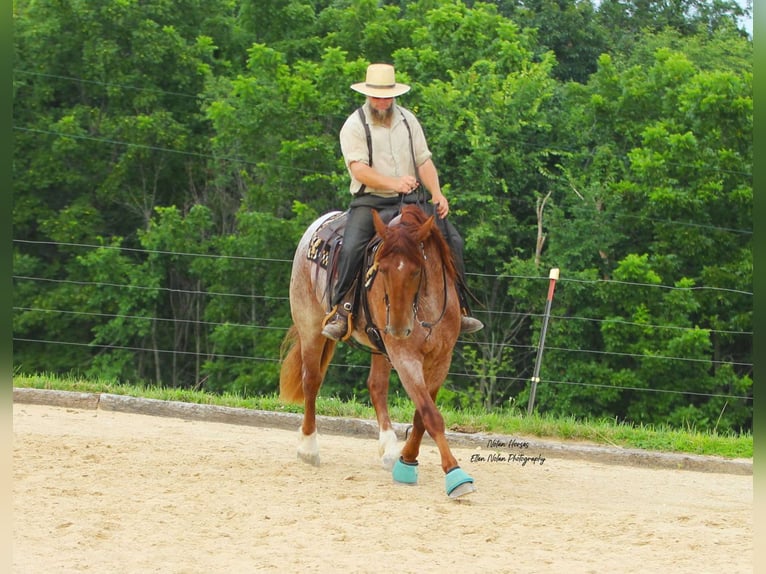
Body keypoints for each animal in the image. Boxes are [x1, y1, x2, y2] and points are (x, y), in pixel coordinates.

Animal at [280, 205, 476, 498]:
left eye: (417, 270)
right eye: (380, 269)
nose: (397, 327)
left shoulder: (442, 358)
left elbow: (421, 416)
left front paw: (406, 461)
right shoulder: (405, 357)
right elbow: (430, 415)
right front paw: (455, 475)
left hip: (379, 346)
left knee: (376, 386)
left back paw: (390, 450)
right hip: (310, 325)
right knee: (311, 381)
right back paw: (308, 448)